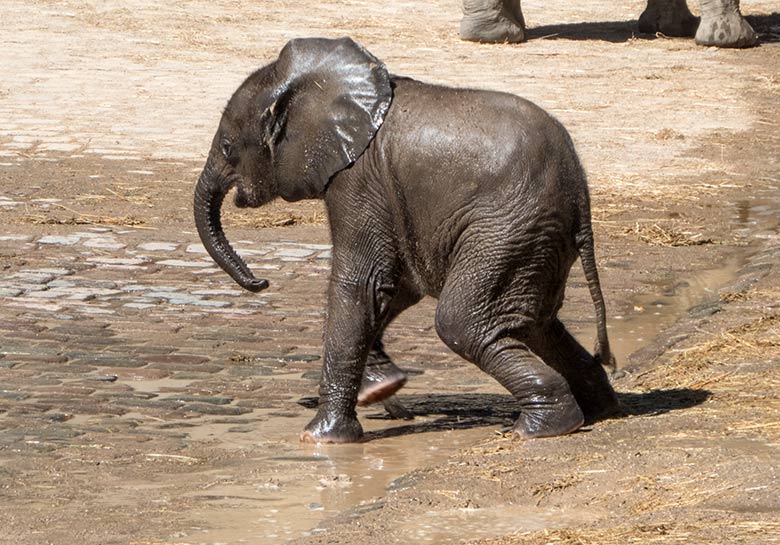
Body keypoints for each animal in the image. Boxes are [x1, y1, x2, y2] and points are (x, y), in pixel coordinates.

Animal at [195, 37, 620, 442]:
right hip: (535, 240)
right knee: (534, 325)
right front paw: (383, 388)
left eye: (228, 147)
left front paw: (322, 438)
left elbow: (360, 283)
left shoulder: (358, 179)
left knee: (464, 324)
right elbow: (392, 286)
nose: (260, 281)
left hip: (507, 230)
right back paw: (597, 409)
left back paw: (540, 427)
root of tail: (580, 194)